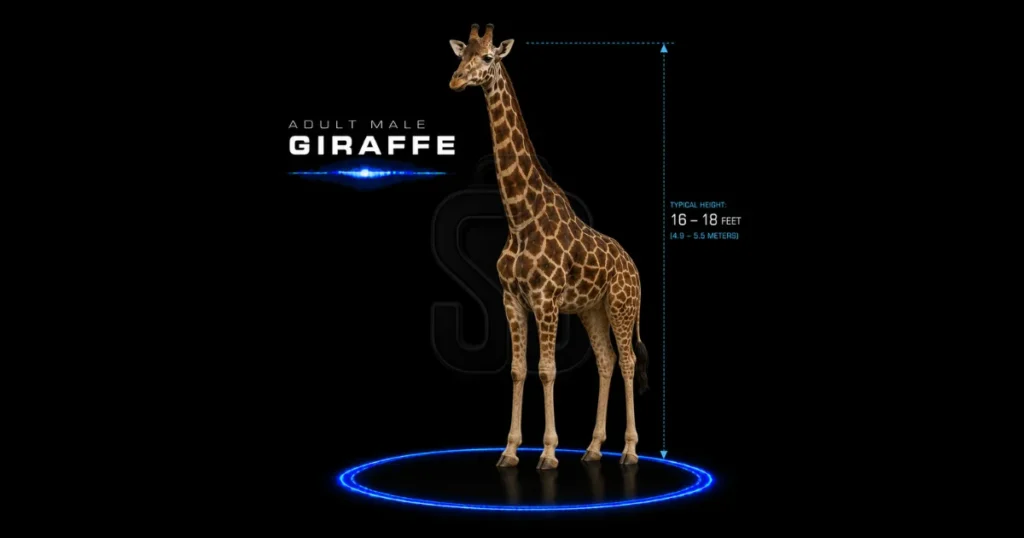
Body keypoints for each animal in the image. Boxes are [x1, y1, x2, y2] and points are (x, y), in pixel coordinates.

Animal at [449, 23, 649, 470]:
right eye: (461, 53)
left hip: (621, 306)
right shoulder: (512, 299)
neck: (519, 218)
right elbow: (519, 369)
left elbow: (546, 369)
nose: (455, 81)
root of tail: (634, 267)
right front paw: (509, 451)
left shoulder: (545, 299)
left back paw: (629, 451)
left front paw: (548, 452)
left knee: (627, 360)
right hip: (593, 310)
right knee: (607, 360)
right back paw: (593, 449)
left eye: (488, 57)